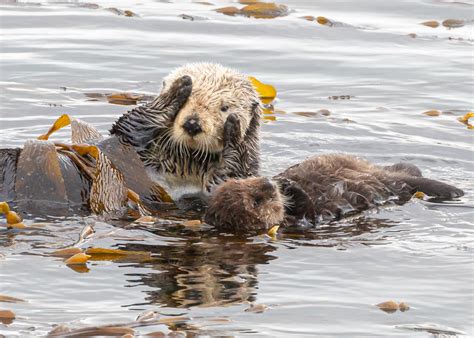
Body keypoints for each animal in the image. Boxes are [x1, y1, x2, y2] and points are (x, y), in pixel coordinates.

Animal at [0, 62, 262, 214]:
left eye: (225, 107)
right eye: (186, 103)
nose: (192, 123)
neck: (183, 162)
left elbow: (229, 180)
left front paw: (234, 130)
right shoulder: (127, 141)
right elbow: (135, 121)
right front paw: (176, 89)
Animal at [204, 154, 462, 234]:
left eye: (243, 180)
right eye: (256, 201)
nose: (268, 183)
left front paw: (286, 179)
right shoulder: (306, 221)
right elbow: (309, 210)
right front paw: (291, 187)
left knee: (408, 167)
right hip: (395, 185)